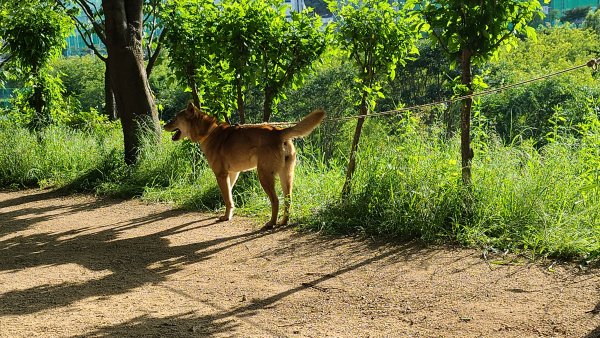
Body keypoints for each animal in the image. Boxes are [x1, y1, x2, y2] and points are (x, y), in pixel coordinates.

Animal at [163, 103, 324, 227]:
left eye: (175, 118)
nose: (164, 125)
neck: (210, 132)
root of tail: (278, 132)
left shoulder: (221, 175)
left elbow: (227, 198)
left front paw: (226, 217)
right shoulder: (232, 174)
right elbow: (229, 196)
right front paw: (229, 213)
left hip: (264, 176)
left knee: (276, 201)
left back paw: (271, 223)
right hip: (286, 176)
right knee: (288, 200)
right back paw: (284, 221)